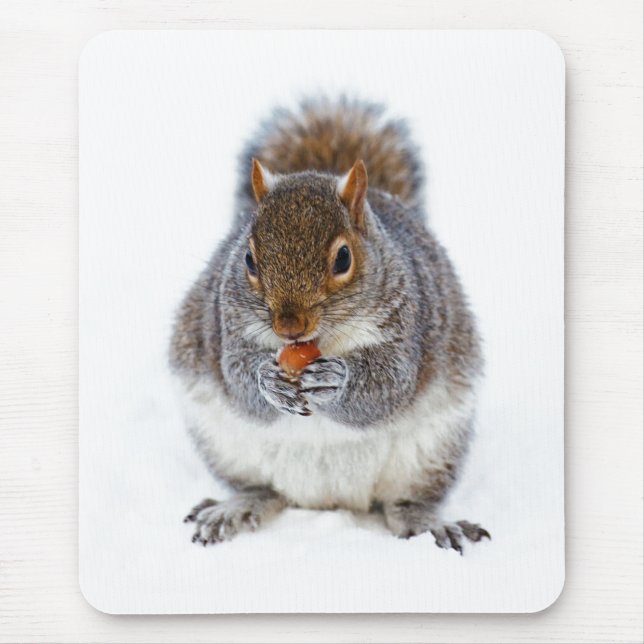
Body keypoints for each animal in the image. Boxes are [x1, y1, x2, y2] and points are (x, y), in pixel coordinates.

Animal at [170, 97, 490, 553]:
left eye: (343, 258)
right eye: (248, 259)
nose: (289, 326)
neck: (321, 341)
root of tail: (328, 500)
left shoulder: (410, 325)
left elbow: (389, 385)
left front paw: (336, 381)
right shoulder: (226, 324)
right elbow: (237, 377)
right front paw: (267, 380)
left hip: (431, 452)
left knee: (405, 503)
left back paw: (430, 523)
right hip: (225, 444)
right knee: (263, 490)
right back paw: (236, 507)